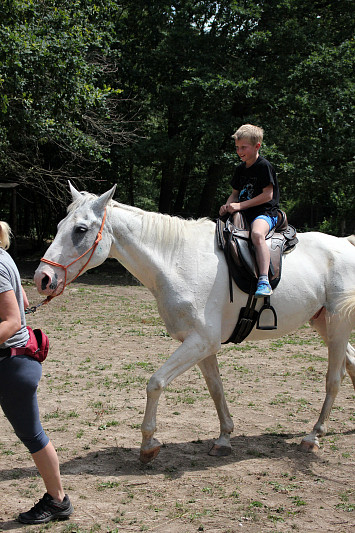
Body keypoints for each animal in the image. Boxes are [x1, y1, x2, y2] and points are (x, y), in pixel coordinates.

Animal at [34, 183, 355, 462]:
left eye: (81, 229)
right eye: (60, 226)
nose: (43, 278)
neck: (176, 261)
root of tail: (346, 243)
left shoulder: (201, 342)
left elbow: (155, 382)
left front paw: (148, 444)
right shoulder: (202, 345)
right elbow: (216, 389)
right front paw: (224, 438)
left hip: (337, 326)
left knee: (334, 378)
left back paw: (313, 436)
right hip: (323, 323)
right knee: (350, 365)